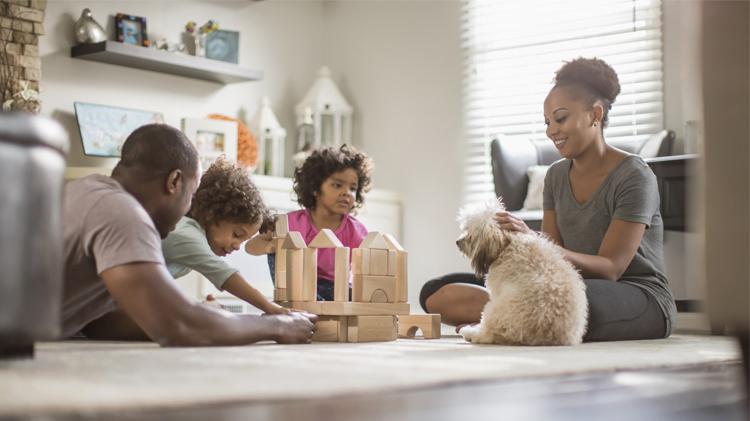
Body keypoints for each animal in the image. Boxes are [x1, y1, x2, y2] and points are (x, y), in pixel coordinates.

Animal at [458, 200, 588, 344]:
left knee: (486, 333)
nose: (457, 242)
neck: (508, 243)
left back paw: (470, 332)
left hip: (495, 308)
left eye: (468, 232)